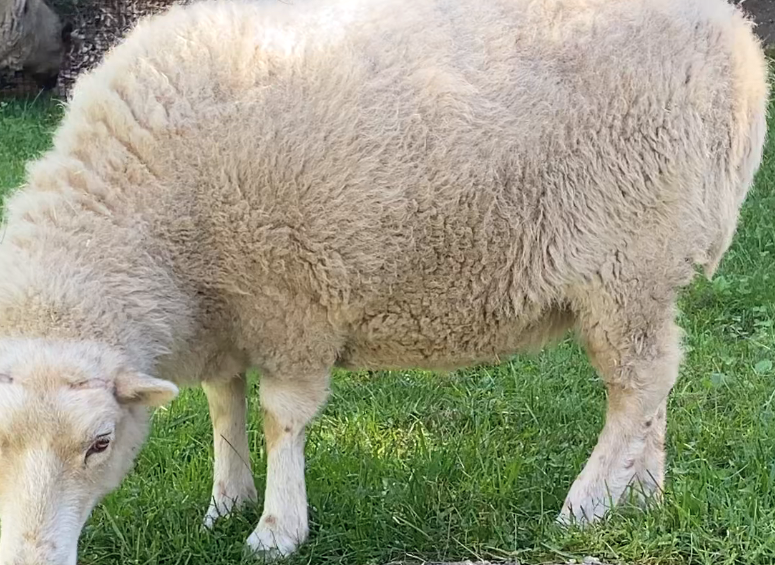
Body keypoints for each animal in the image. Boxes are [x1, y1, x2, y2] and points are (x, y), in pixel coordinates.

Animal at [0, 0, 768, 560]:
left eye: (100, 443)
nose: (33, 559)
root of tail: (736, 37)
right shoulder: (229, 310)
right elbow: (224, 406)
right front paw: (226, 501)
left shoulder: (291, 304)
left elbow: (281, 417)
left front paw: (275, 530)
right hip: (648, 274)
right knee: (656, 382)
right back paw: (641, 497)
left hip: (625, 260)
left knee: (636, 385)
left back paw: (585, 505)